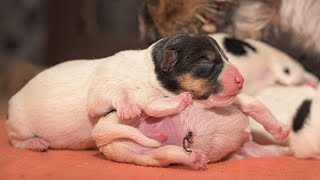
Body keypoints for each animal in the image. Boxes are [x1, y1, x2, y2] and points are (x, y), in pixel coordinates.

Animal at [6, 33, 244, 151]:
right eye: (204, 61)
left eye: (226, 57)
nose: (241, 80)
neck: (148, 71)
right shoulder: (103, 88)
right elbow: (111, 93)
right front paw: (129, 107)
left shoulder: (152, 97)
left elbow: (154, 106)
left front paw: (177, 102)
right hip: (20, 124)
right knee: (15, 140)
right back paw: (35, 143)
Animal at [92, 93, 290, 171]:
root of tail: (99, 133)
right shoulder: (243, 101)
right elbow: (260, 109)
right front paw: (281, 131)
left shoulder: (246, 149)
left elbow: (268, 149)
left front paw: (286, 149)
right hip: (138, 108)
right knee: (150, 107)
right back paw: (180, 101)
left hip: (142, 155)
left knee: (165, 153)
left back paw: (195, 158)